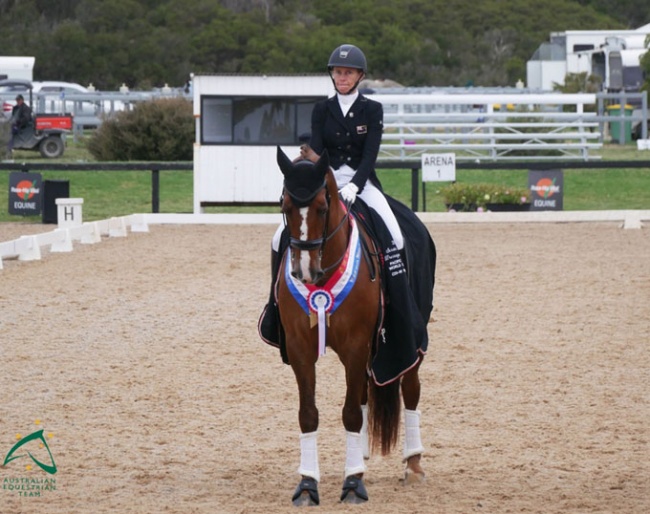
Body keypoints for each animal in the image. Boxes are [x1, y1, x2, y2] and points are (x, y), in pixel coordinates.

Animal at [274, 145, 430, 504]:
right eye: (285, 207)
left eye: (322, 207)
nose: (305, 272)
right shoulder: (300, 347)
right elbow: (309, 414)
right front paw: (308, 484)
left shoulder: (357, 344)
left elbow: (350, 414)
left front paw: (353, 484)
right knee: (362, 393)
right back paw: (361, 458)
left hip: (410, 337)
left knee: (410, 388)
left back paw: (413, 465)